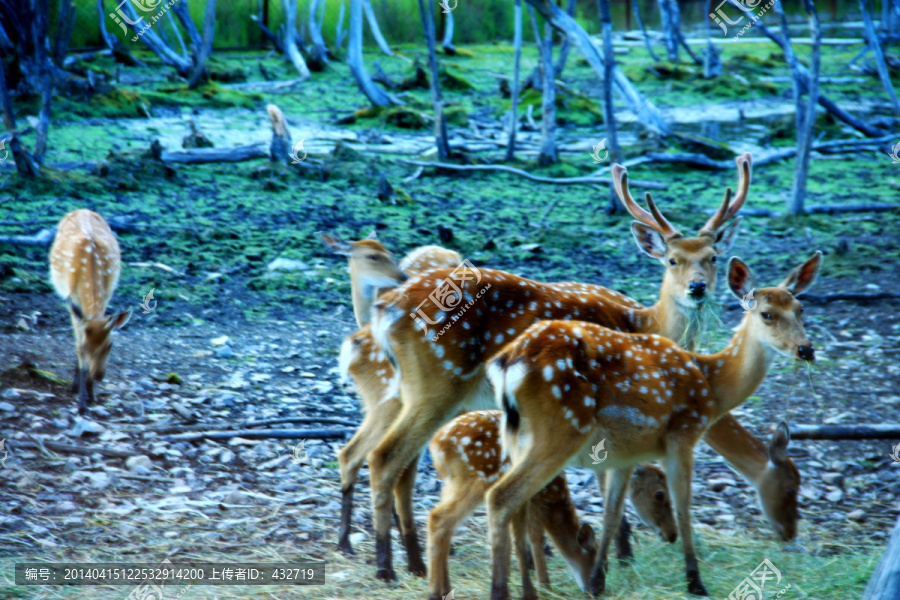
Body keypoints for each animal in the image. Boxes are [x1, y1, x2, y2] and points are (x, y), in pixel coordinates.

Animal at [50, 210, 132, 412]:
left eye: (110, 345)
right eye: (87, 347)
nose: (99, 375)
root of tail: (82, 210)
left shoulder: (107, 294)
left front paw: (91, 395)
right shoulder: (71, 300)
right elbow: (77, 344)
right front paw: (82, 402)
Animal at [362, 155, 800, 580]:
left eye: (713, 258)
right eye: (672, 260)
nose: (697, 287)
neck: (646, 323)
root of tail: (386, 308)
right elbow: (612, 481)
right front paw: (618, 557)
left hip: (412, 389)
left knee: (398, 461)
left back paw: (410, 561)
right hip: (438, 383)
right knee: (386, 456)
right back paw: (387, 566)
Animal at [428, 410, 676, 600]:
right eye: (660, 494)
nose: (672, 534)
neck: (555, 496)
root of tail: (436, 445)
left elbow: (529, 539)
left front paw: (540, 584)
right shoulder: (532, 499)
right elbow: (531, 538)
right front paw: (540, 587)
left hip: (453, 483)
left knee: (439, 520)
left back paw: (444, 589)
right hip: (476, 480)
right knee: (439, 519)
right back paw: (437, 591)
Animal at [486, 251, 824, 596]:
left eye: (801, 309)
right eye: (767, 314)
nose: (806, 349)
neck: (712, 385)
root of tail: (505, 364)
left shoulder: (625, 455)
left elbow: (612, 513)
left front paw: (597, 582)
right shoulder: (683, 434)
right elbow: (684, 508)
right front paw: (695, 582)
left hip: (516, 435)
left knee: (519, 507)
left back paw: (527, 589)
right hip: (560, 428)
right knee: (501, 497)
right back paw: (500, 591)